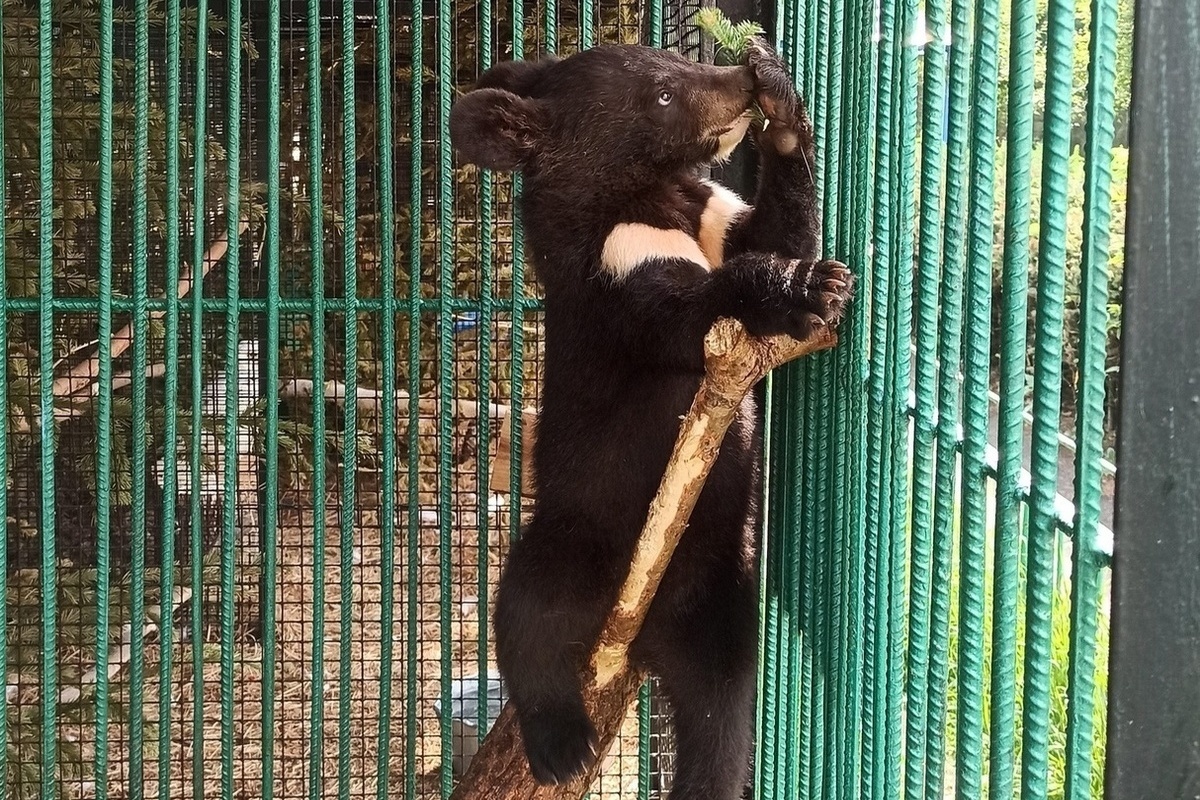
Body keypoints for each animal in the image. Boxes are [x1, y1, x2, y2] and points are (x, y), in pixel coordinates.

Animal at [451, 38, 854, 800]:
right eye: (663, 94)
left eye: (679, 60)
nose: (740, 79)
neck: (655, 194)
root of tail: (647, 632)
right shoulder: (612, 266)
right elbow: (683, 313)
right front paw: (805, 286)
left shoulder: (713, 210)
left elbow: (771, 230)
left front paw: (784, 106)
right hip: (582, 532)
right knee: (529, 608)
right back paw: (560, 744)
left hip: (722, 594)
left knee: (722, 706)